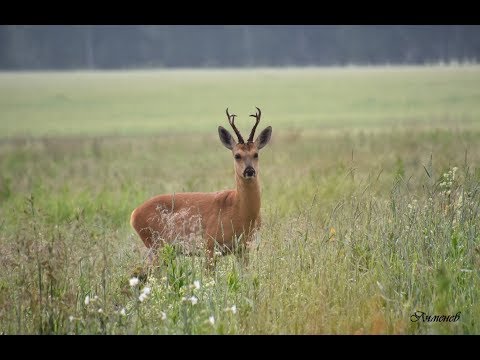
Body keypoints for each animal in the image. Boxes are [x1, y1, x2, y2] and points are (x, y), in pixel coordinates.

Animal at [129, 107, 272, 268]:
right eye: (237, 155)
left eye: (256, 154)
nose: (249, 171)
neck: (240, 211)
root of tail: (133, 214)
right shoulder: (209, 244)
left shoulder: (244, 248)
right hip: (156, 245)